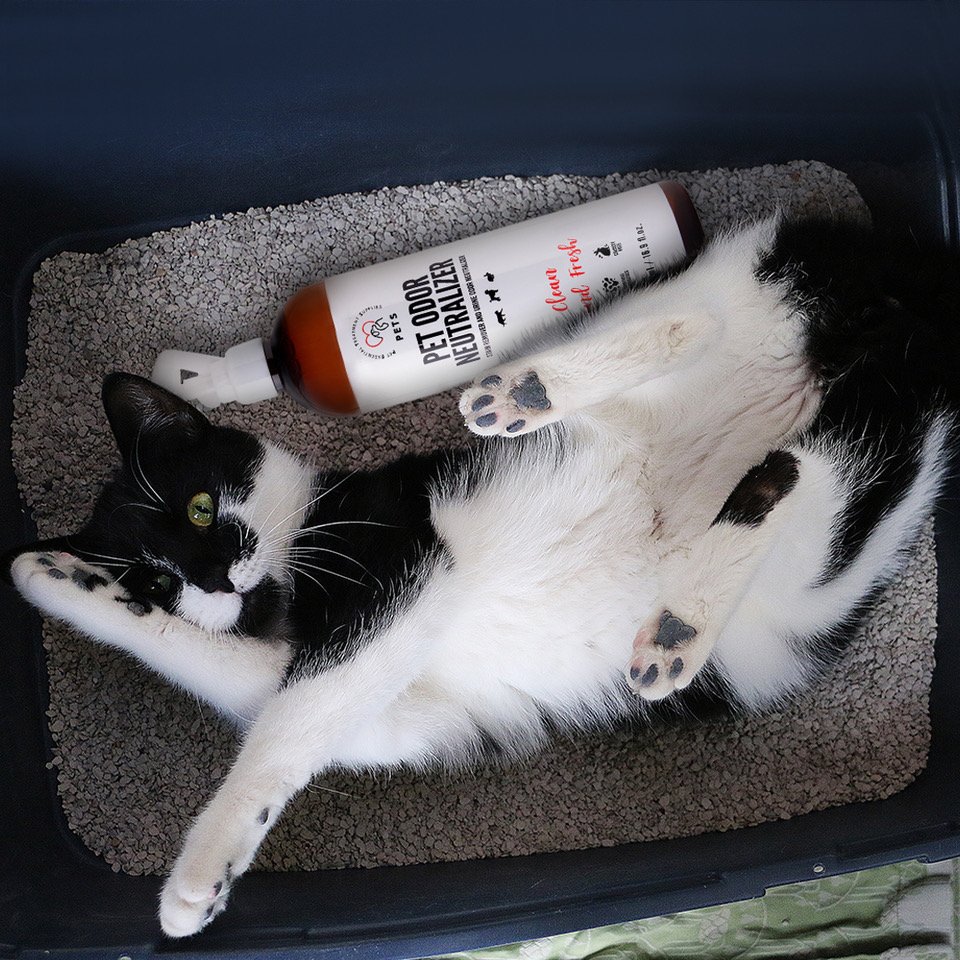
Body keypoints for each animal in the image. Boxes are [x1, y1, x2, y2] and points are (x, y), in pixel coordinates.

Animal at [4, 212, 959, 938]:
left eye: (203, 507)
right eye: (157, 580)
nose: (216, 579)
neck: (294, 570)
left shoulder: (404, 560)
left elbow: (287, 724)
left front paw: (197, 877)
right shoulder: (395, 709)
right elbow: (272, 699)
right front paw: (49, 575)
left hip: (705, 303)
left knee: (710, 348)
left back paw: (536, 391)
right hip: (816, 580)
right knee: (800, 472)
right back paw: (678, 624)